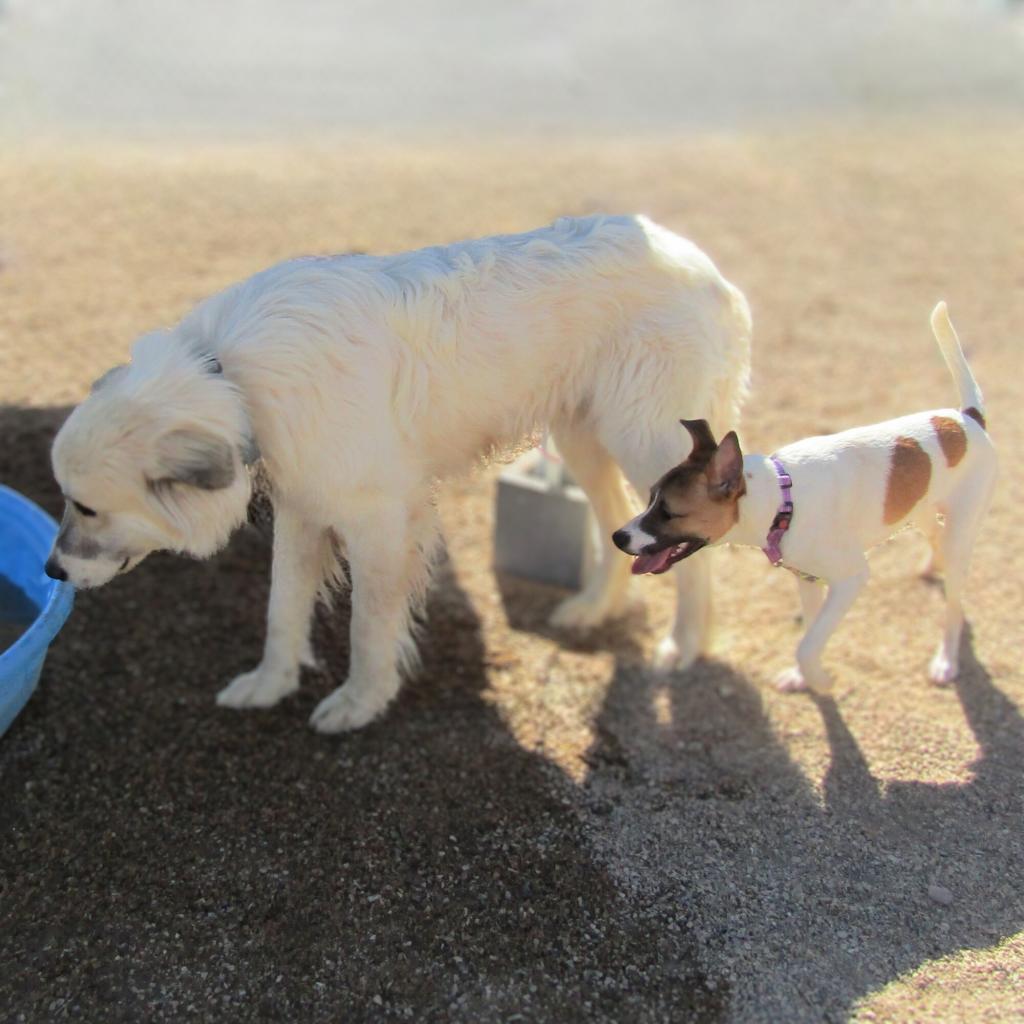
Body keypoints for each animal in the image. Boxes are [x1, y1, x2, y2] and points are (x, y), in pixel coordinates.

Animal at [610, 299, 995, 692]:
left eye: (669, 512)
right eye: (650, 498)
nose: (617, 537)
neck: (783, 499)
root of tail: (967, 419)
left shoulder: (851, 578)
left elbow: (807, 645)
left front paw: (820, 680)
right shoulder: (807, 578)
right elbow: (811, 629)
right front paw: (803, 678)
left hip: (962, 528)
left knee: (954, 605)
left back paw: (946, 660)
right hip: (922, 510)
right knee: (937, 539)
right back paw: (933, 568)